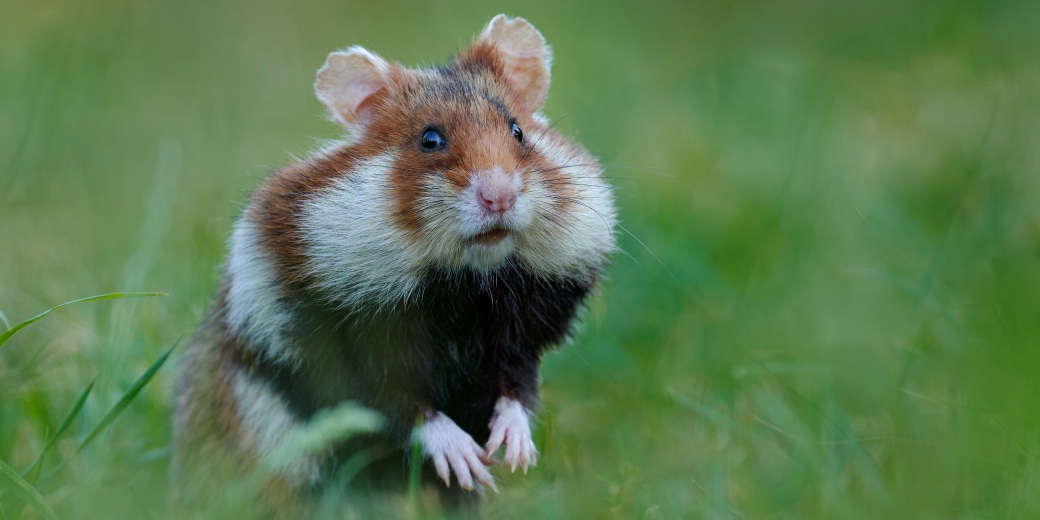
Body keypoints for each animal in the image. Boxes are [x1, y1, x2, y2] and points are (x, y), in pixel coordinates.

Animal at [172, 13, 615, 515]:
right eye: (430, 139)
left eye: (518, 131)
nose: (499, 197)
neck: (465, 280)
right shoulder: (334, 344)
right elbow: (398, 405)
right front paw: (468, 460)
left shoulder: (520, 336)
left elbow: (516, 391)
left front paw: (514, 455)